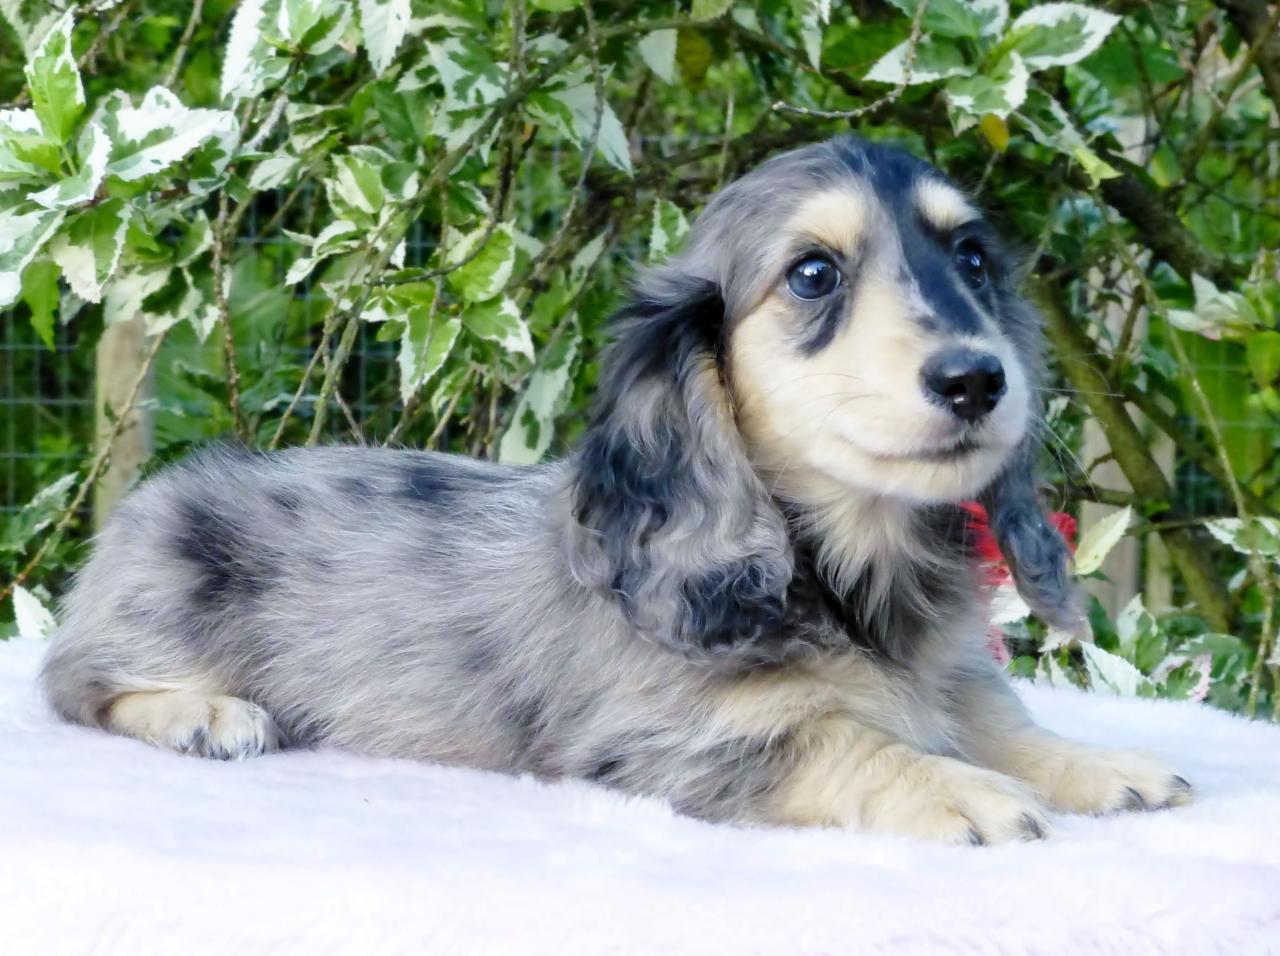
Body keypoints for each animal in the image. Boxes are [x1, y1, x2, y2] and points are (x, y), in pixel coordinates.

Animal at [45, 136, 1192, 844]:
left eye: (972, 258)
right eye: (813, 274)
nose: (976, 379)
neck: (841, 573)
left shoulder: (950, 675)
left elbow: (997, 718)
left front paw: (1099, 764)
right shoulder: (667, 746)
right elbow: (842, 738)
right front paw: (960, 788)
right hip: (150, 610)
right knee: (71, 683)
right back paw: (203, 712)